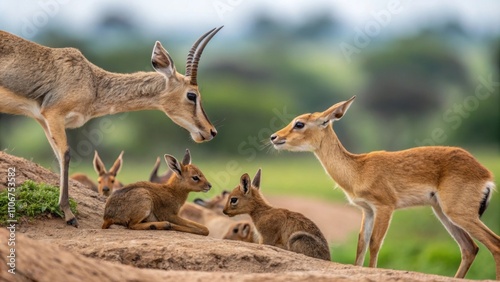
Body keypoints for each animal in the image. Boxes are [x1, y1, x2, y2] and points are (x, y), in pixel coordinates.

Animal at [0, 27, 223, 227]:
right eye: (192, 95)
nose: (211, 131)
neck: (92, 83)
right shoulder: (53, 116)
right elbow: (65, 155)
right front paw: (69, 215)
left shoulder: (44, 120)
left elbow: (58, 157)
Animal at [272, 96, 498, 278]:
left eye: (299, 123)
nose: (274, 137)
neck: (358, 169)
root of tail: (486, 174)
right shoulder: (367, 210)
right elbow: (361, 244)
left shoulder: (384, 207)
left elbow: (375, 243)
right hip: (442, 212)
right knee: (470, 248)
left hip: (459, 213)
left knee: (494, 244)